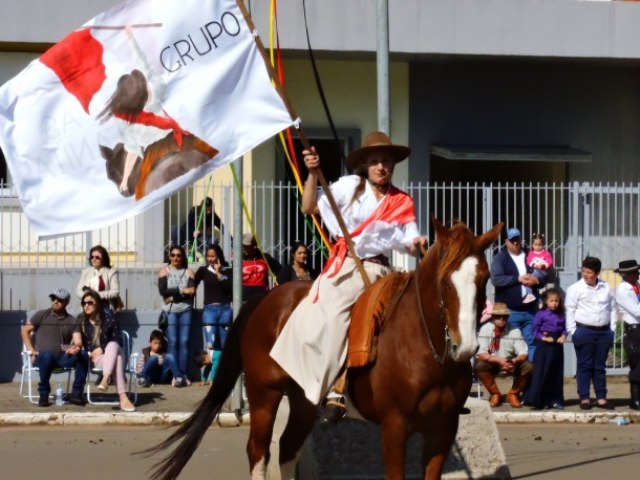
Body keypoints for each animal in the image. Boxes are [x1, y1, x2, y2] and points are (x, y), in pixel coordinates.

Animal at [148, 218, 502, 480]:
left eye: (484, 278)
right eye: (444, 282)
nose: (466, 347)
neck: (427, 352)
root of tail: (265, 299)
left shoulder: (443, 429)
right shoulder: (395, 426)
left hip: (304, 398)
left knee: (287, 448)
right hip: (264, 393)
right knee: (259, 452)